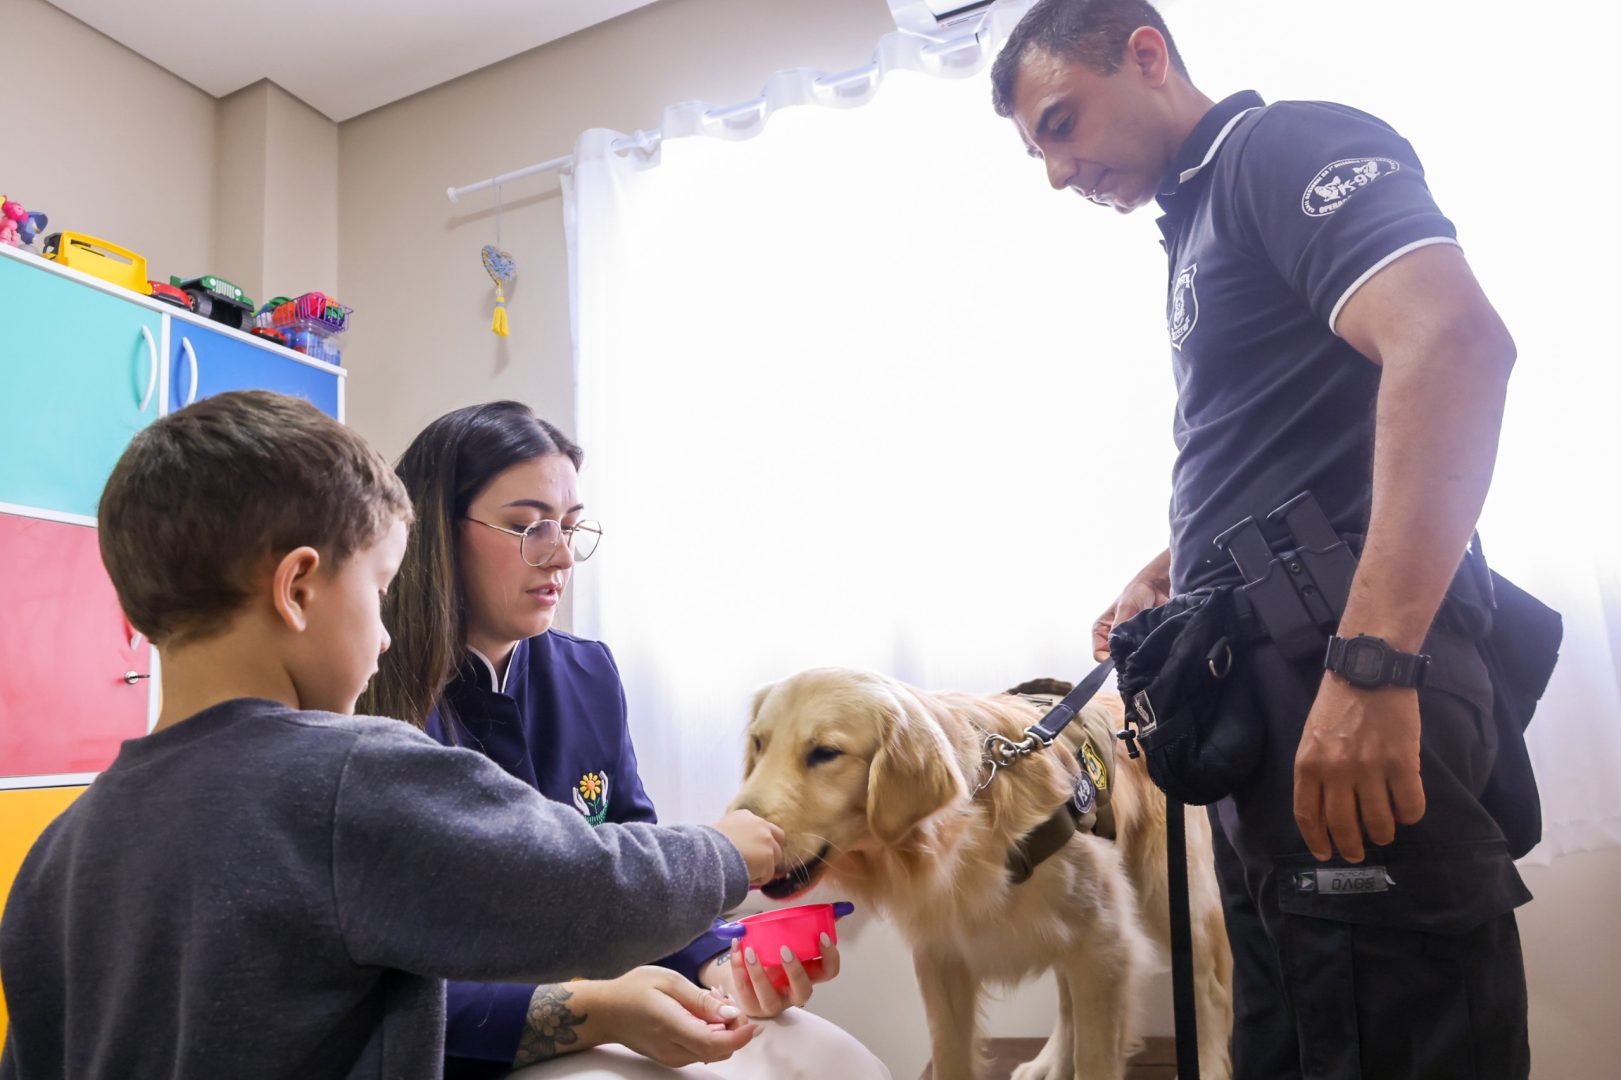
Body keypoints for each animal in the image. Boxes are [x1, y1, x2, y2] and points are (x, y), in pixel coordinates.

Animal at [729, 668, 1232, 1080]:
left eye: (825, 753)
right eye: (759, 744)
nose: (734, 832)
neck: (967, 833)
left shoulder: (1106, 942)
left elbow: (1096, 1059)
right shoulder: (942, 958)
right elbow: (950, 1055)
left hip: (1169, 897)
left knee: (1208, 989)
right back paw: (1051, 1061)